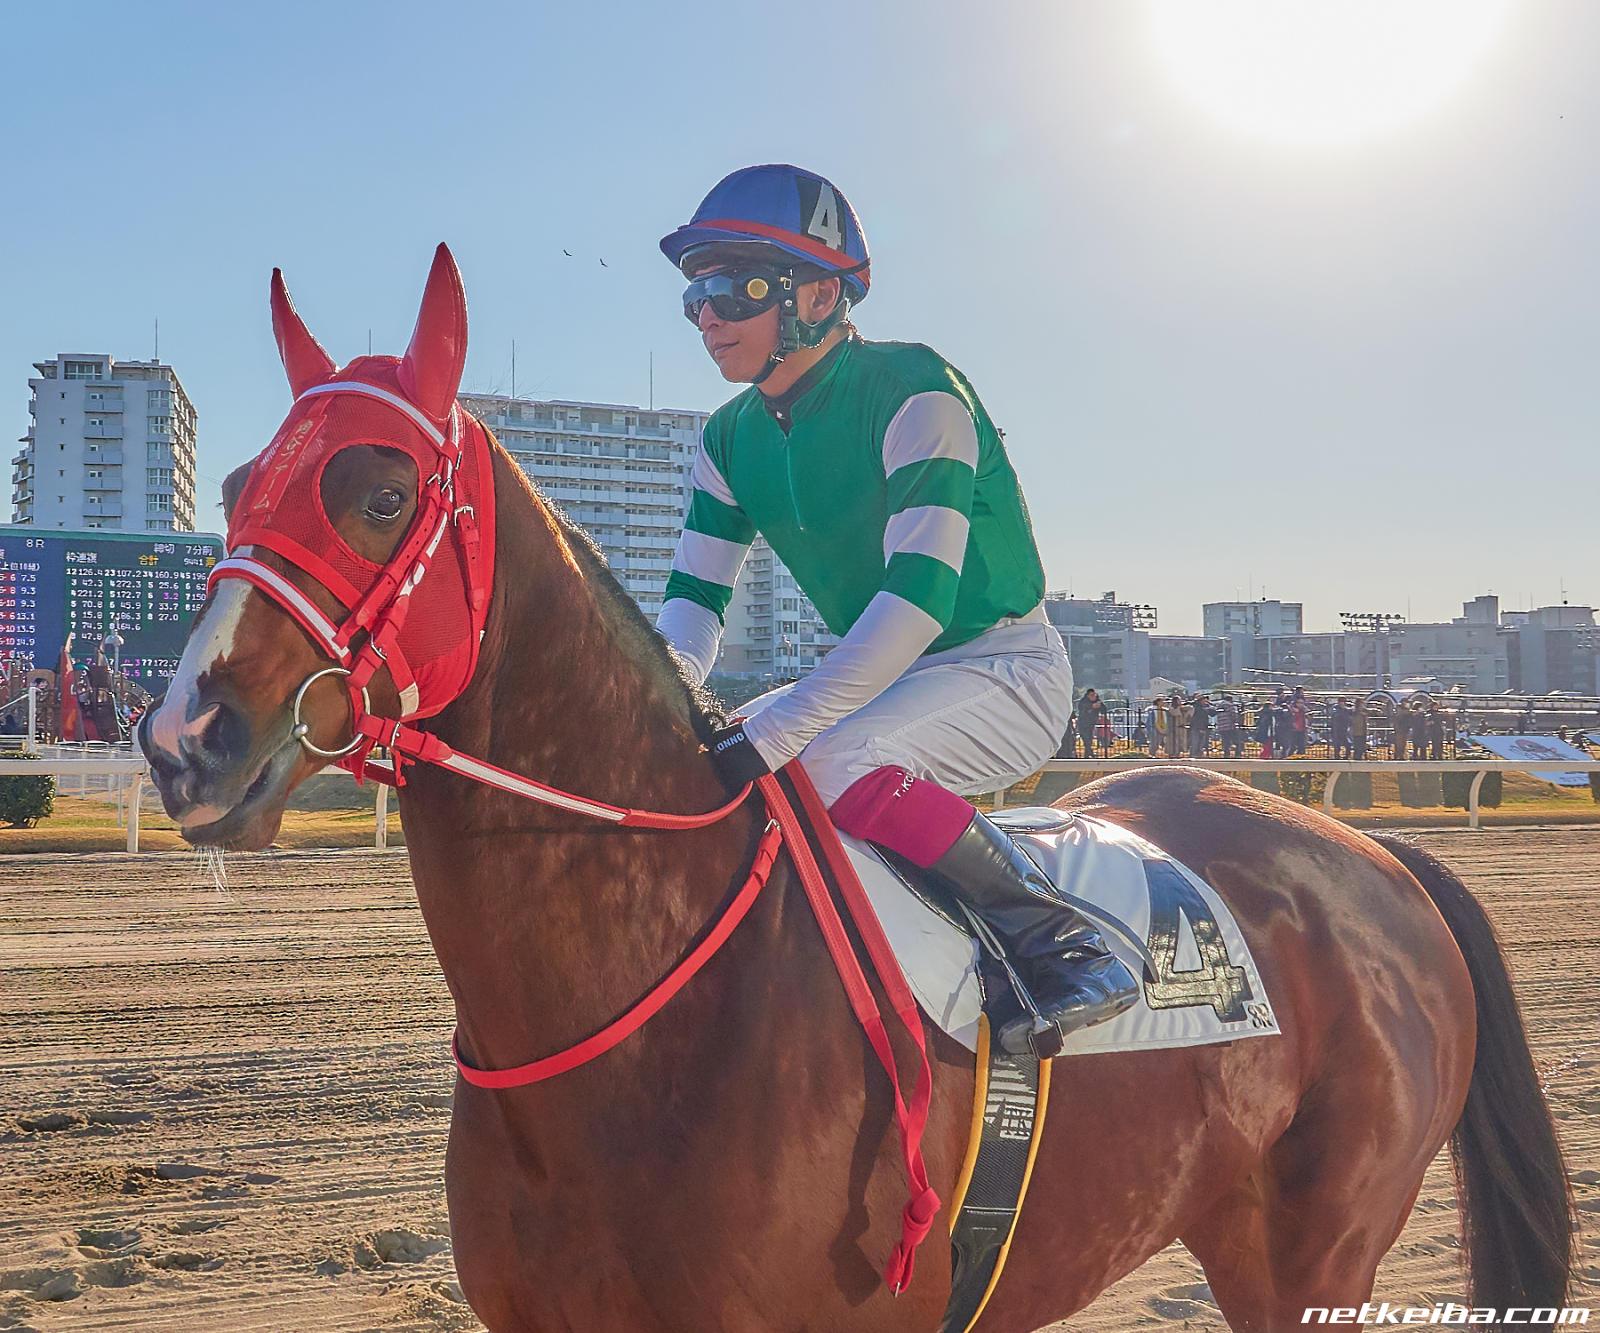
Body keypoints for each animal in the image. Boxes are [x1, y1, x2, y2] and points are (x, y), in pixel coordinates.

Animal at [141, 246, 1576, 1331]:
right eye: (238, 483)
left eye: (383, 493)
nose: (183, 738)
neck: (631, 1019)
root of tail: (1373, 858)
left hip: (1314, 1253)